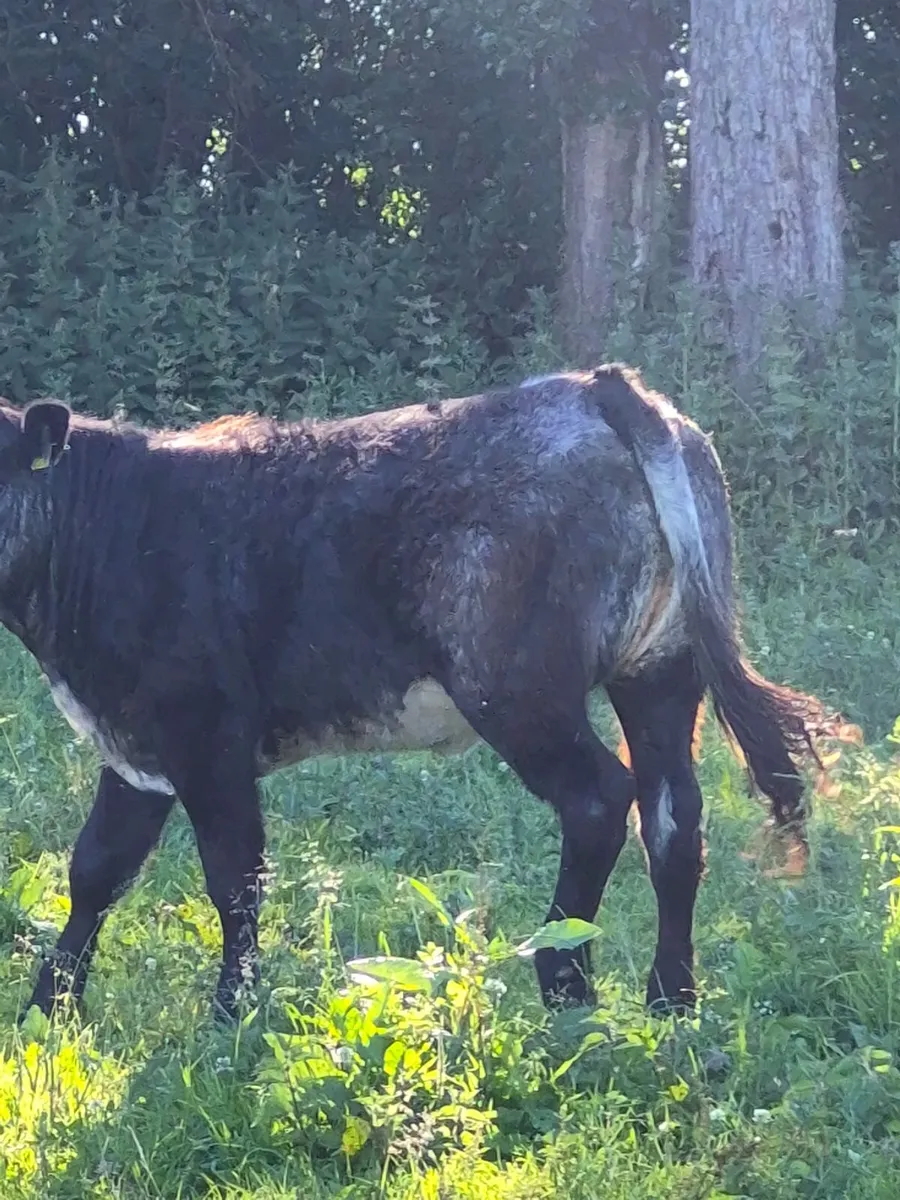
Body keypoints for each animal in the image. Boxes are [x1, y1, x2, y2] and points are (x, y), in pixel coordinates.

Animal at [0, 364, 841, 1024]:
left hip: (517, 691)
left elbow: (233, 878)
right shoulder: (136, 747)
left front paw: (230, 1016)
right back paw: (671, 999)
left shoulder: (206, 738)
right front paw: (47, 1009)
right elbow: (96, 868)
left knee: (601, 798)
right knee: (674, 818)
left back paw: (565, 982)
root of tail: (598, 388)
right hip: (660, 673)